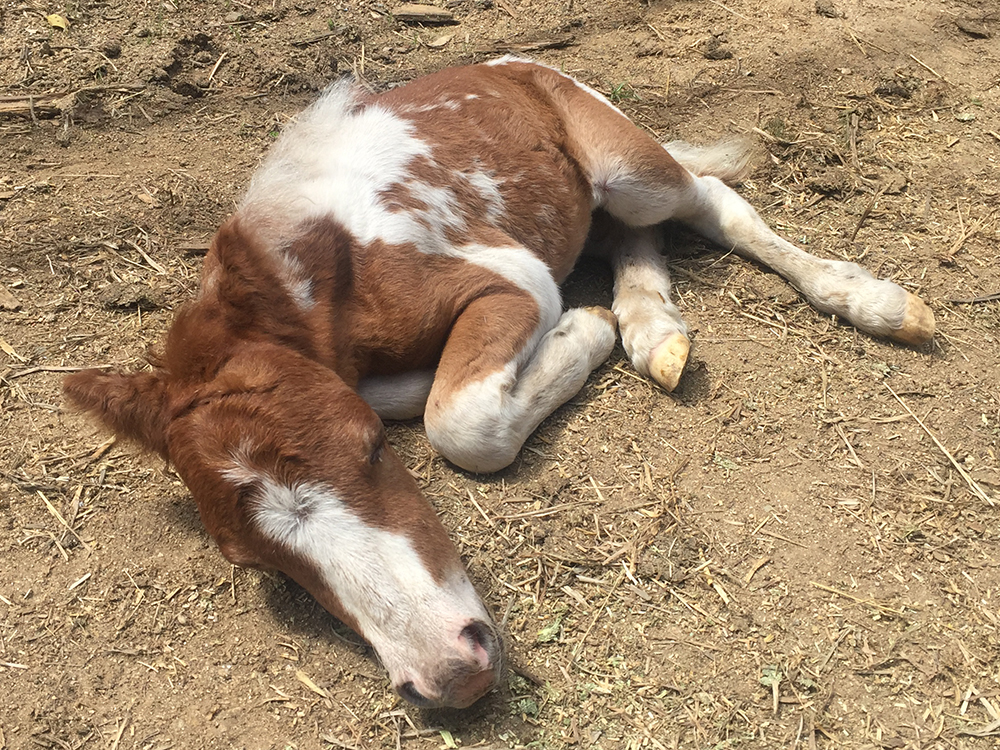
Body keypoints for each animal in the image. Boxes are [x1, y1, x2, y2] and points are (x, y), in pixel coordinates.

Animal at [64, 58, 936, 712]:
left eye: (373, 453)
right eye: (251, 561)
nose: (452, 674)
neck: (314, 282)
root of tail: (510, 64)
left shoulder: (507, 280)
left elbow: (461, 422)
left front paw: (584, 333)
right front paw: (603, 331)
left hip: (630, 166)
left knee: (705, 201)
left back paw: (873, 303)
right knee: (629, 236)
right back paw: (655, 331)